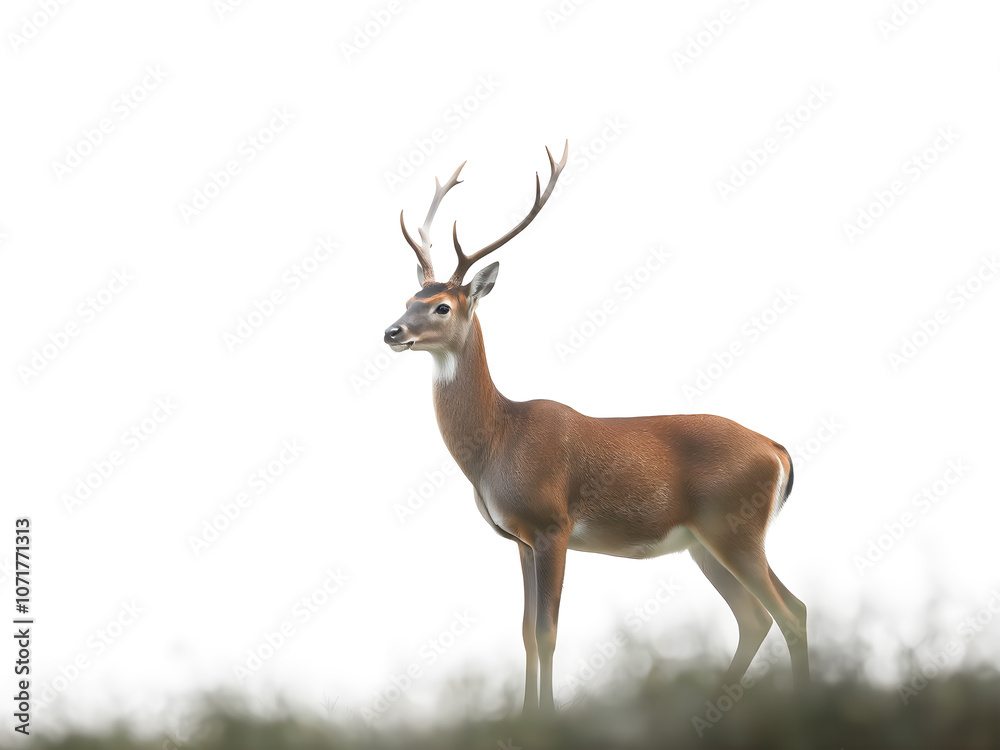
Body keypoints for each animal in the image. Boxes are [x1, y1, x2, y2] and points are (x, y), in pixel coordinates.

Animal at [384, 142, 808, 713]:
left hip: (734, 527)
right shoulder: (519, 538)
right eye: (409, 299)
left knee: (786, 612)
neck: (499, 441)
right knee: (761, 615)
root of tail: (777, 450)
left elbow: (547, 631)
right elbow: (524, 631)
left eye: (442, 306)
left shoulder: (552, 524)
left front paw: (548, 718)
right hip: (707, 541)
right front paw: (525, 718)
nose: (392, 331)